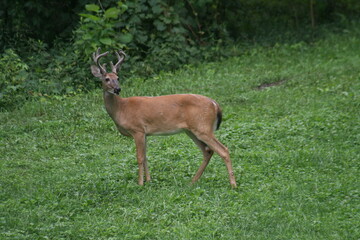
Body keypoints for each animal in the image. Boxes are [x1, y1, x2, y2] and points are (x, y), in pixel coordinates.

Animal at [89, 48, 236, 188]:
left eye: (118, 77)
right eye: (107, 79)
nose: (117, 89)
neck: (121, 109)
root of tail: (215, 104)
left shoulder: (137, 130)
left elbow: (139, 157)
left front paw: (140, 183)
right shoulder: (145, 133)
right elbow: (146, 156)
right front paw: (148, 180)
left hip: (203, 127)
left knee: (223, 150)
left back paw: (233, 184)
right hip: (191, 130)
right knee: (208, 151)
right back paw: (192, 182)